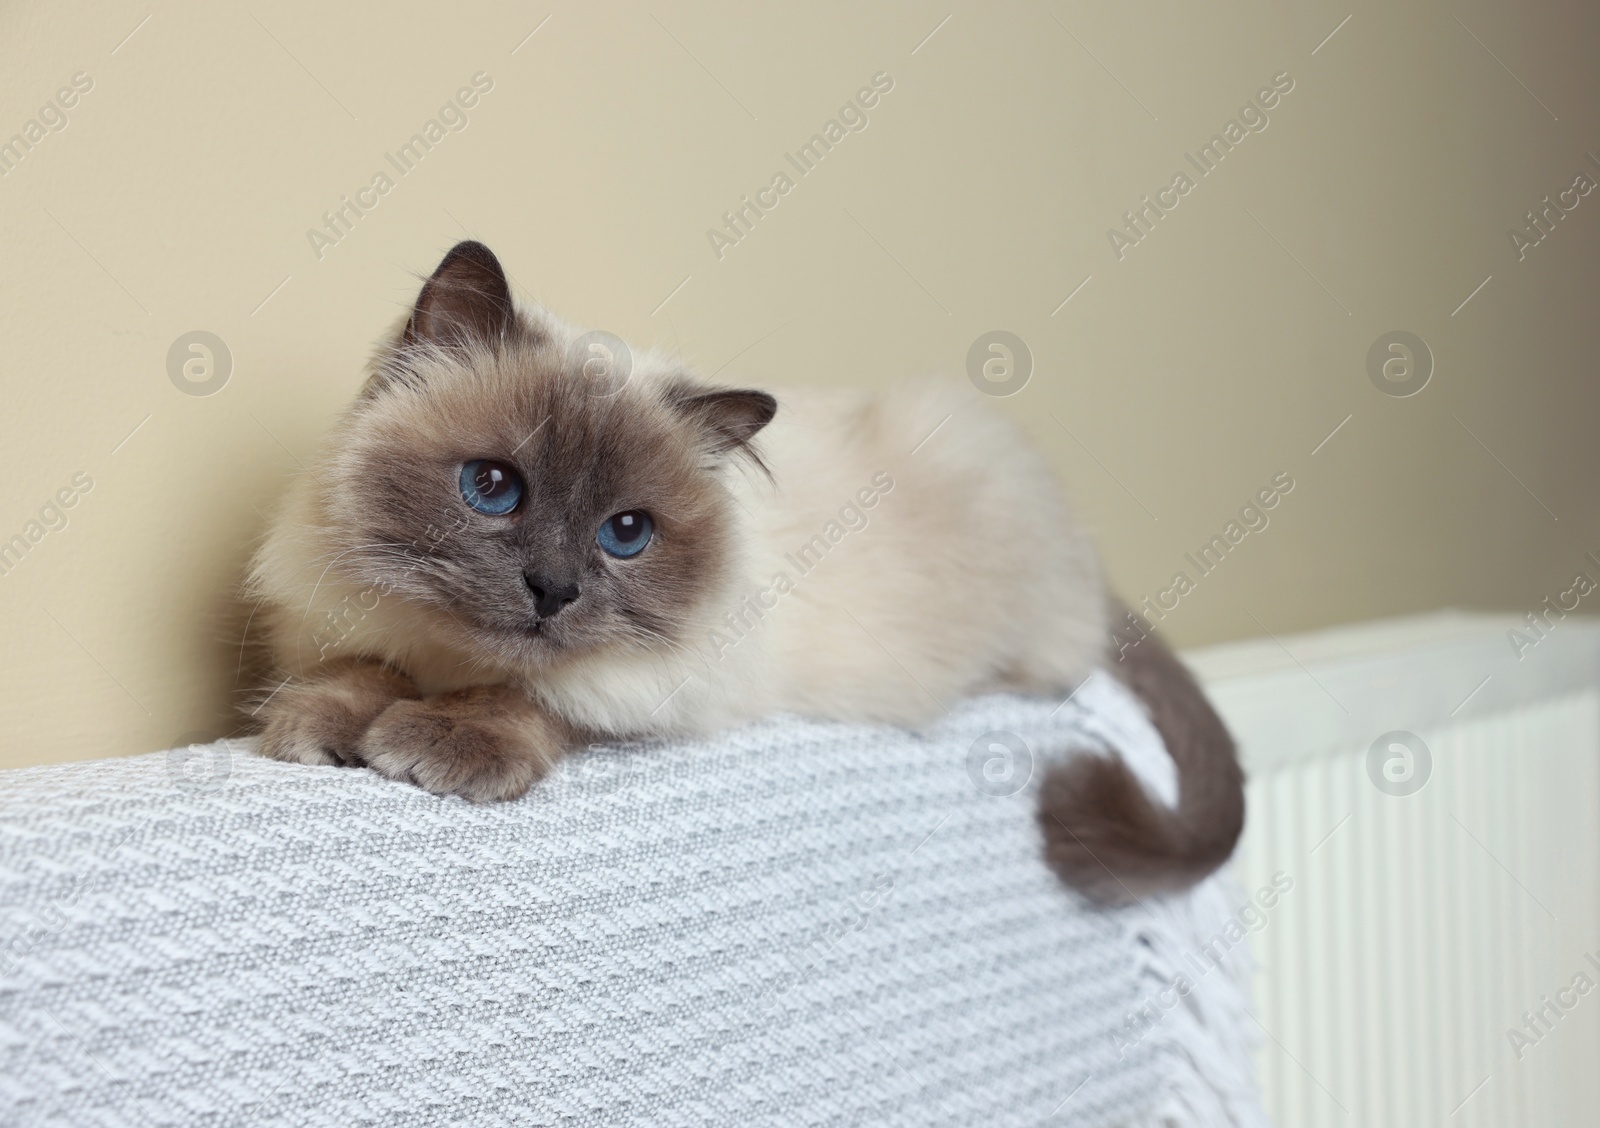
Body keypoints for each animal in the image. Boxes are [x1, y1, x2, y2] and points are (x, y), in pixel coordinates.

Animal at [252, 241, 1248, 902]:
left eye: (625, 534)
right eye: (492, 488)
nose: (553, 591)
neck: (448, 660)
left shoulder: (674, 685)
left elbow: (536, 697)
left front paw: (431, 744)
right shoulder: (341, 621)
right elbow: (353, 670)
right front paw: (320, 729)